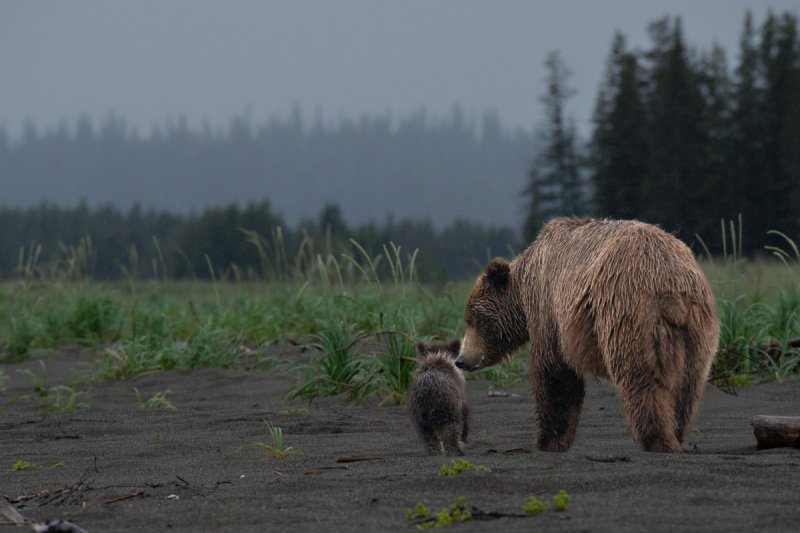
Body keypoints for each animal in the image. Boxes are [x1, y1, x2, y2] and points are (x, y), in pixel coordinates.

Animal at [454, 218, 720, 450]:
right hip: (697, 327)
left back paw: (655, 437)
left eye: (473, 319)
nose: (461, 360)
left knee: (640, 376)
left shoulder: (549, 307)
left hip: (628, 311)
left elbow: (555, 371)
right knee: (688, 384)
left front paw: (549, 438)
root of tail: (670, 284)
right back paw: (676, 431)